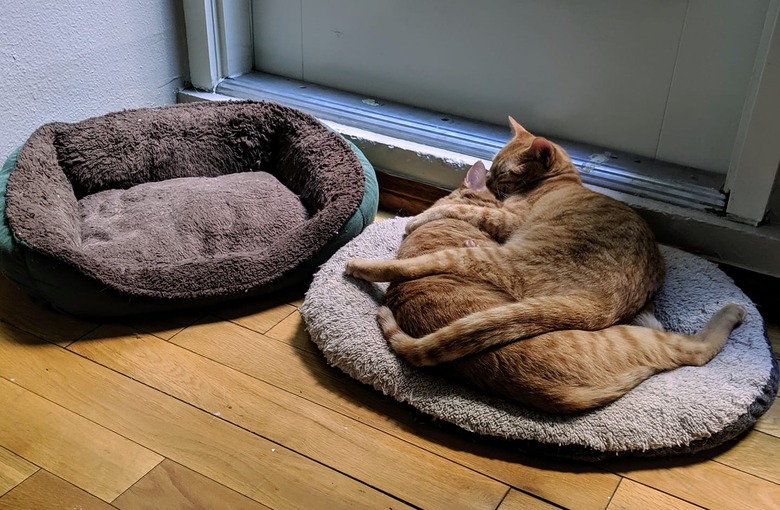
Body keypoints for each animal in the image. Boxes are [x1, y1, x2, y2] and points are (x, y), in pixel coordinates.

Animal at [348, 117, 744, 412]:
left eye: (503, 172)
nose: (491, 179)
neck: (562, 180)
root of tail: (601, 305)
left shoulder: (506, 220)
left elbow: (457, 209)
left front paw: (420, 217)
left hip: (484, 260)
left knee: (695, 349)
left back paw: (360, 264)